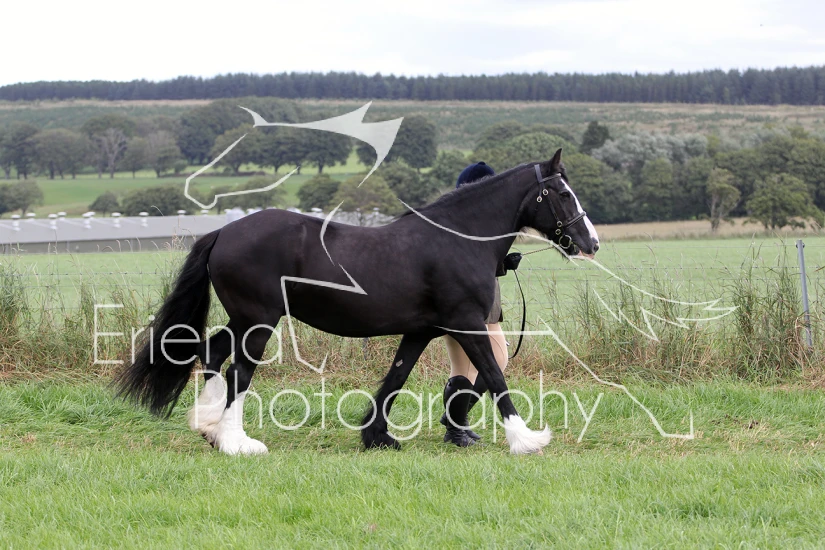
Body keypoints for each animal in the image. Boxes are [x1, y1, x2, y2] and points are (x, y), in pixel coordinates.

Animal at [116, 149, 600, 455]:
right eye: (562, 194)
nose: (591, 242)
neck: (456, 239)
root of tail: (223, 232)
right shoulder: (466, 323)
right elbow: (496, 377)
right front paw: (527, 440)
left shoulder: (421, 330)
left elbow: (396, 378)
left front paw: (377, 437)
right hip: (259, 320)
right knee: (239, 372)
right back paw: (238, 444)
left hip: (245, 318)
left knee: (214, 350)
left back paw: (210, 429)